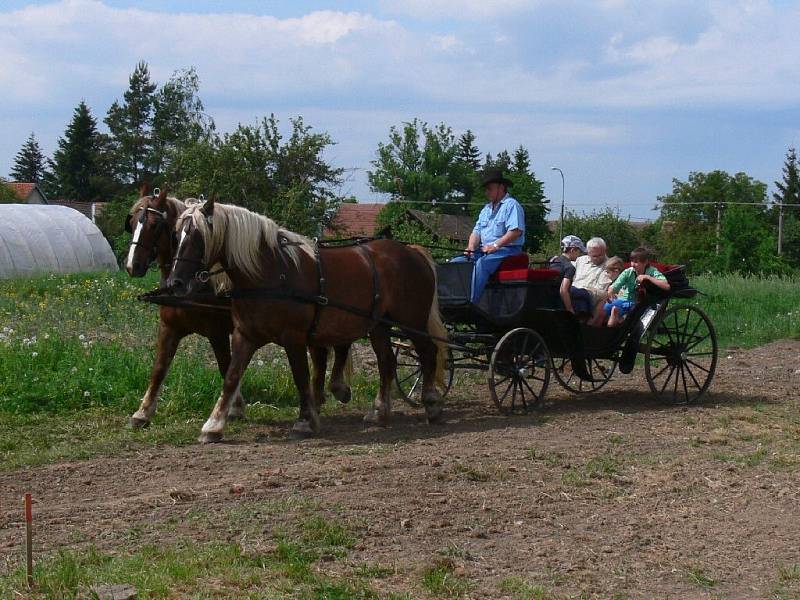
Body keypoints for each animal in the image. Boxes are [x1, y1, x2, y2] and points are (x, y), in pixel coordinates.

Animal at [167, 196, 450, 440]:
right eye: (176, 235)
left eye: (198, 237)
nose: (175, 283)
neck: (270, 273)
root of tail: (413, 251)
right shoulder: (244, 335)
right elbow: (231, 376)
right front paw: (213, 426)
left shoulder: (294, 337)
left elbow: (301, 376)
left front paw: (305, 421)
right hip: (379, 325)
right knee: (386, 361)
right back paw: (379, 411)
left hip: (412, 320)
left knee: (428, 353)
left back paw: (432, 405)